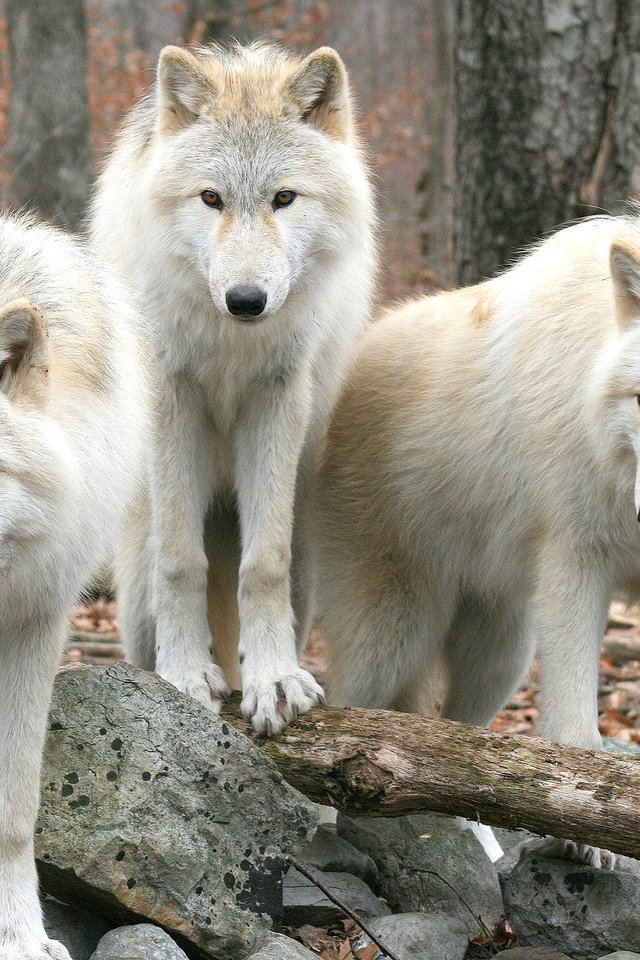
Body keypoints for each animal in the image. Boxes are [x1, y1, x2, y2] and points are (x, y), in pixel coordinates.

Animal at [92, 41, 378, 732]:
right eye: (211, 199)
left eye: (284, 198)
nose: (246, 300)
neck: (230, 340)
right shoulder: (173, 399)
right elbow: (181, 561)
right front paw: (185, 676)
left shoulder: (277, 399)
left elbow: (262, 566)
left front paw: (273, 681)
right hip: (134, 584)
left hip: (305, 552)